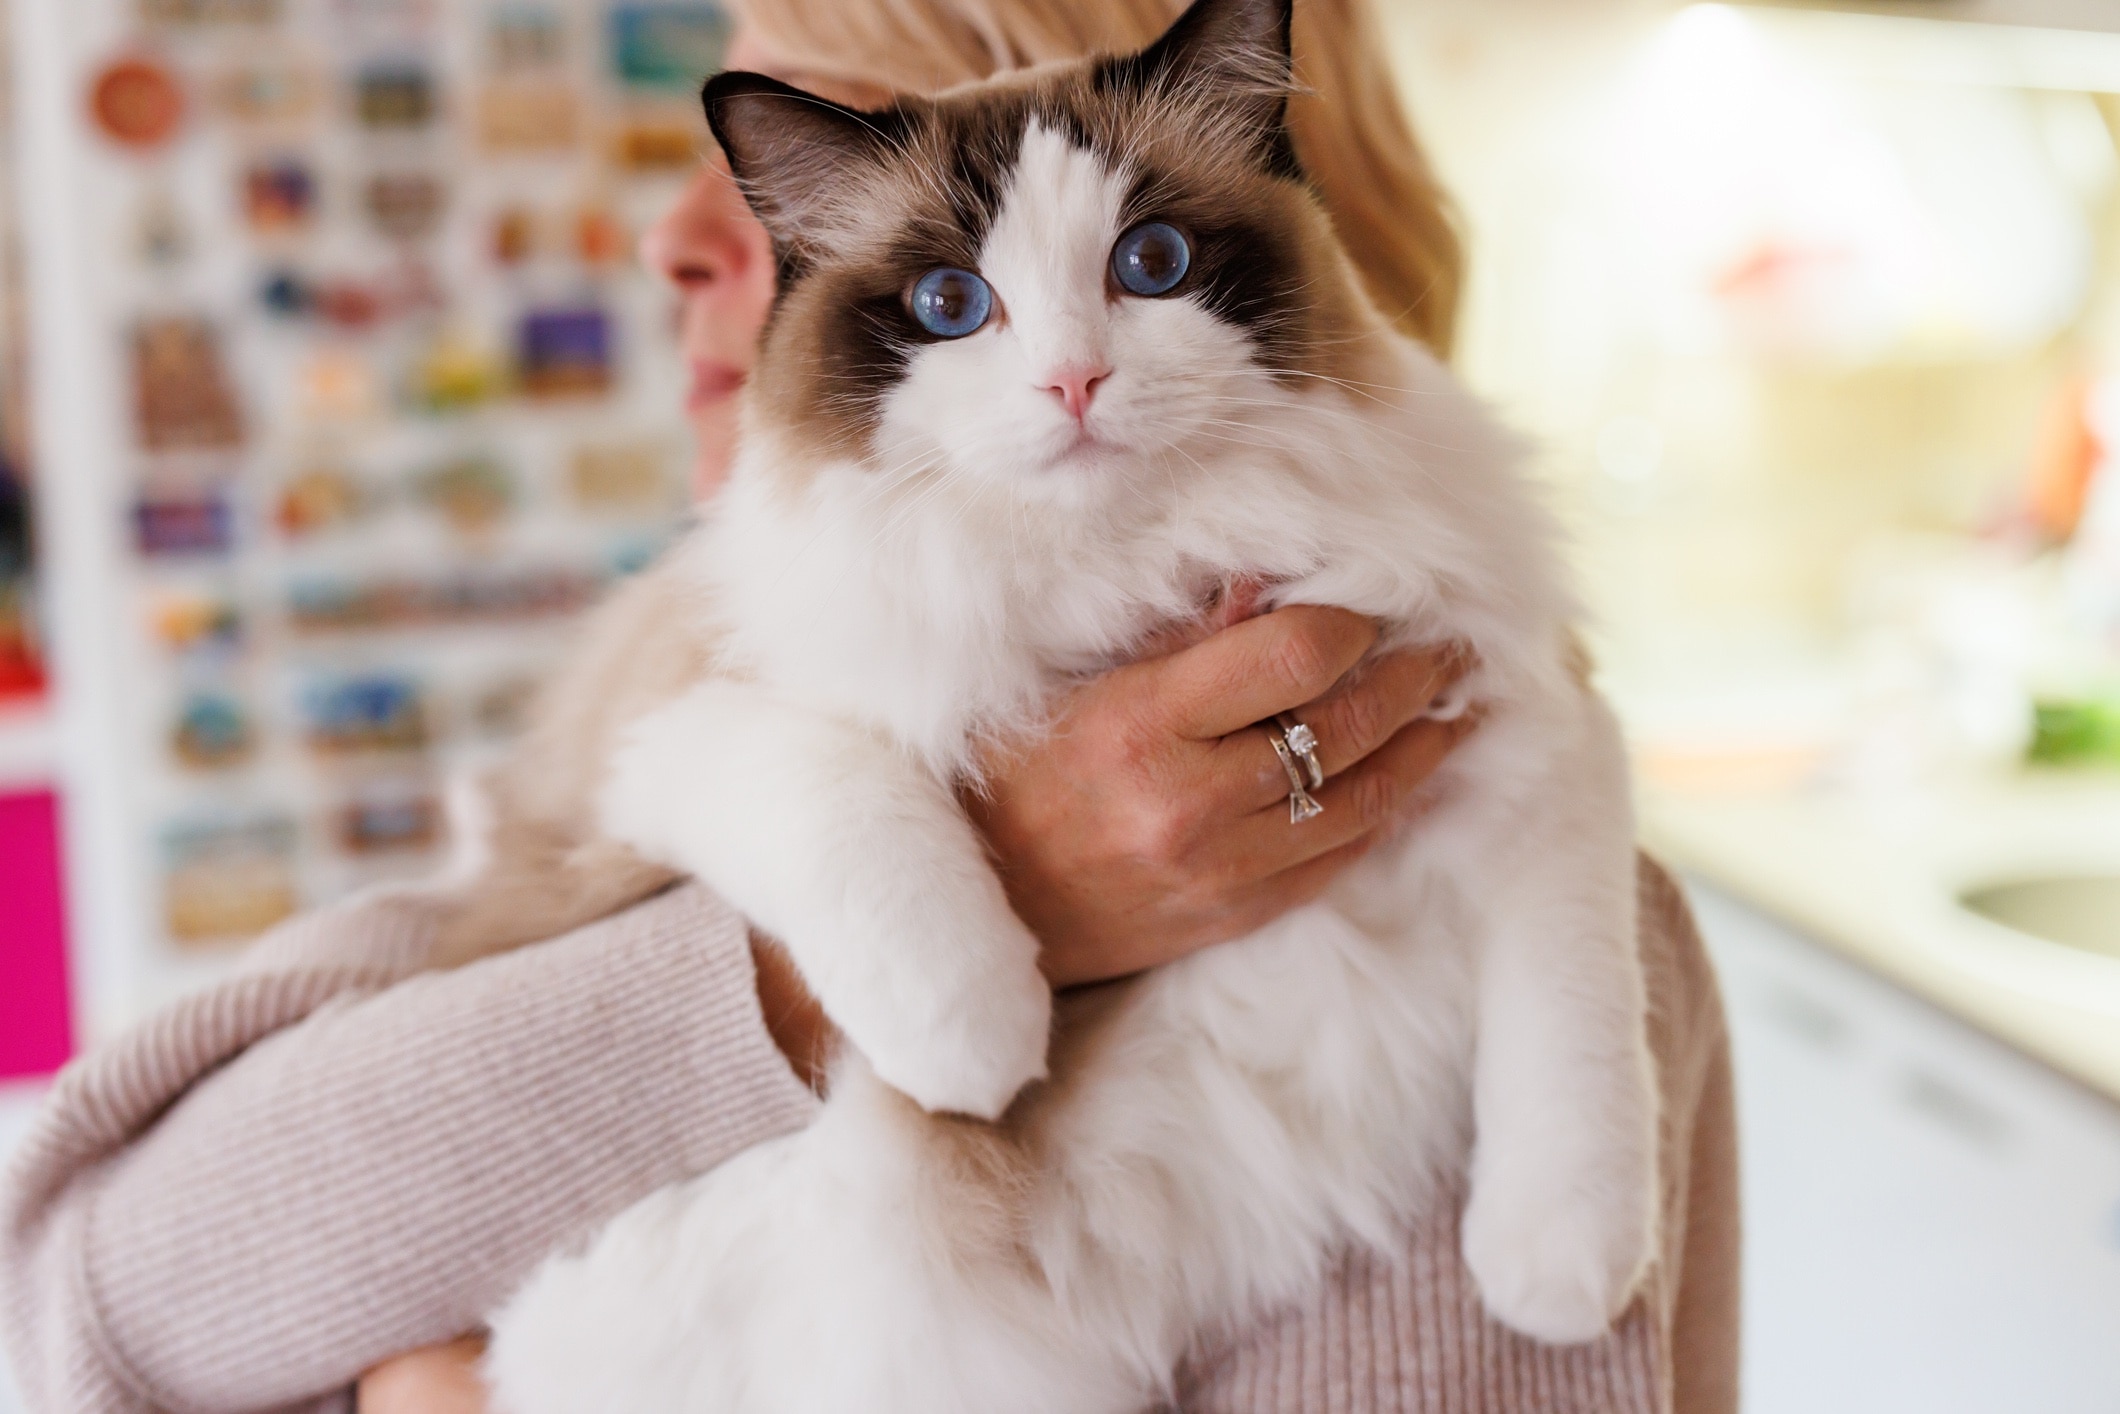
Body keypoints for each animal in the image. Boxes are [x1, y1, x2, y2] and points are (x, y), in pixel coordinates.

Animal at [464, 5, 1653, 1407]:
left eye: (1152, 262)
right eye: (949, 306)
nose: (1073, 384)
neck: (1128, 573)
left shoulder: (1525, 731)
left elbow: (1570, 1044)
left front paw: (1556, 1280)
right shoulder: (676, 735)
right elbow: (859, 814)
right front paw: (980, 1035)